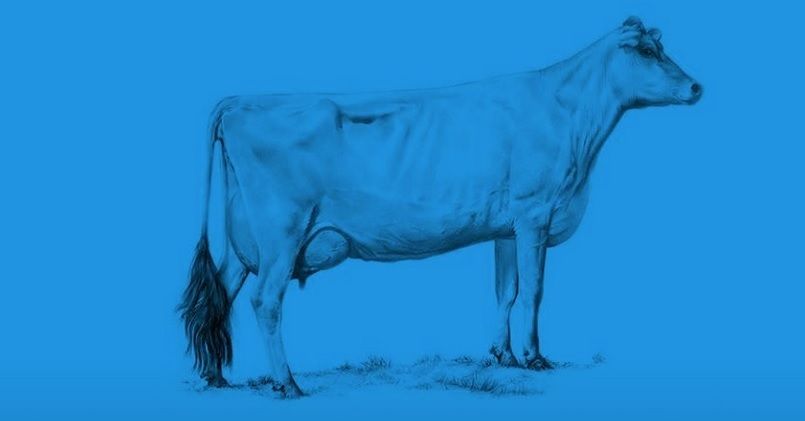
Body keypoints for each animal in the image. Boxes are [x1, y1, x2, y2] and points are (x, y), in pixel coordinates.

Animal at [179, 16, 702, 397]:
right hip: (280, 232)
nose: (697, 88)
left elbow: (505, 291)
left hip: (245, 239)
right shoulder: (535, 214)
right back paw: (287, 383)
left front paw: (502, 355)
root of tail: (239, 102)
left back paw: (216, 377)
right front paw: (535, 358)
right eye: (648, 52)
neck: (570, 117)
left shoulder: (506, 227)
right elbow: (533, 291)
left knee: (221, 292)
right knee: (265, 301)